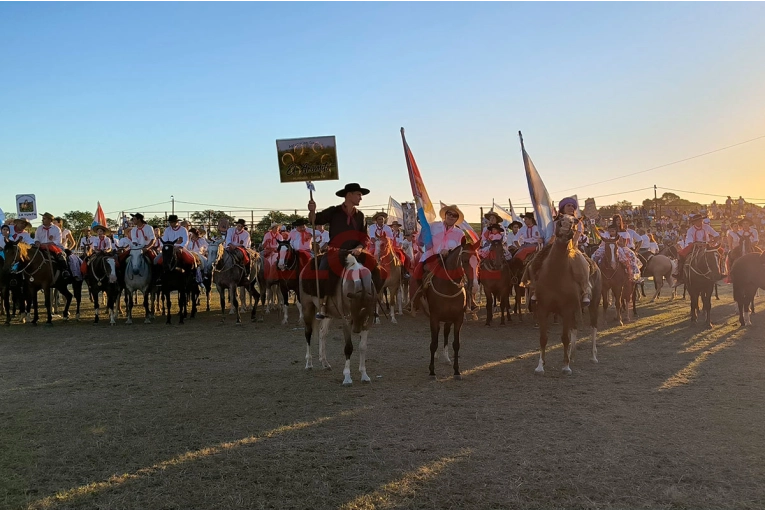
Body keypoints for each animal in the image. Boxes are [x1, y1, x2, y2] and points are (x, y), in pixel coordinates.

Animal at [532, 217, 596, 376]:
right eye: (560, 219)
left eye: (574, 222)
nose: (566, 228)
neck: (555, 274)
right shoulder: (542, 309)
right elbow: (543, 338)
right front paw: (540, 366)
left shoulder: (566, 310)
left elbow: (565, 338)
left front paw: (566, 366)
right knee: (575, 328)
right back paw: (572, 355)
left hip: (594, 304)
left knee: (593, 327)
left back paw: (593, 356)